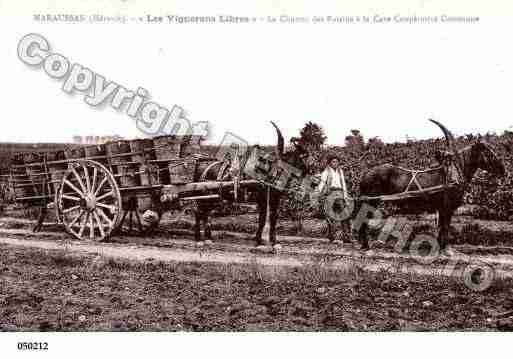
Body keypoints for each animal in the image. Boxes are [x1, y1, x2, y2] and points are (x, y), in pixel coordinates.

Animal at [356, 121, 504, 253]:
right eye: (488, 152)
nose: (503, 170)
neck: (454, 172)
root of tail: (365, 174)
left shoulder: (443, 209)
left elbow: (442, 227)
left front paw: (440, 247)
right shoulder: (446, 207)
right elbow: (445, 227)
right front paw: (445, 249)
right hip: (371, 201)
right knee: (363, 219)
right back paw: (365, 246)